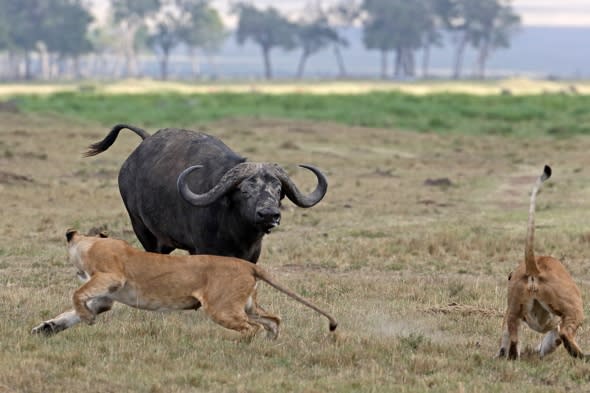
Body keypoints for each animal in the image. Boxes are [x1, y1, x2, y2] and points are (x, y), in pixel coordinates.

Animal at [84, 124, 328, 262]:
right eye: (244, 190)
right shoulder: (203, 249)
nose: (269, 214)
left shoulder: (252, 255)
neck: (236, 230)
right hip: (142, 228)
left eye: (278, 190)